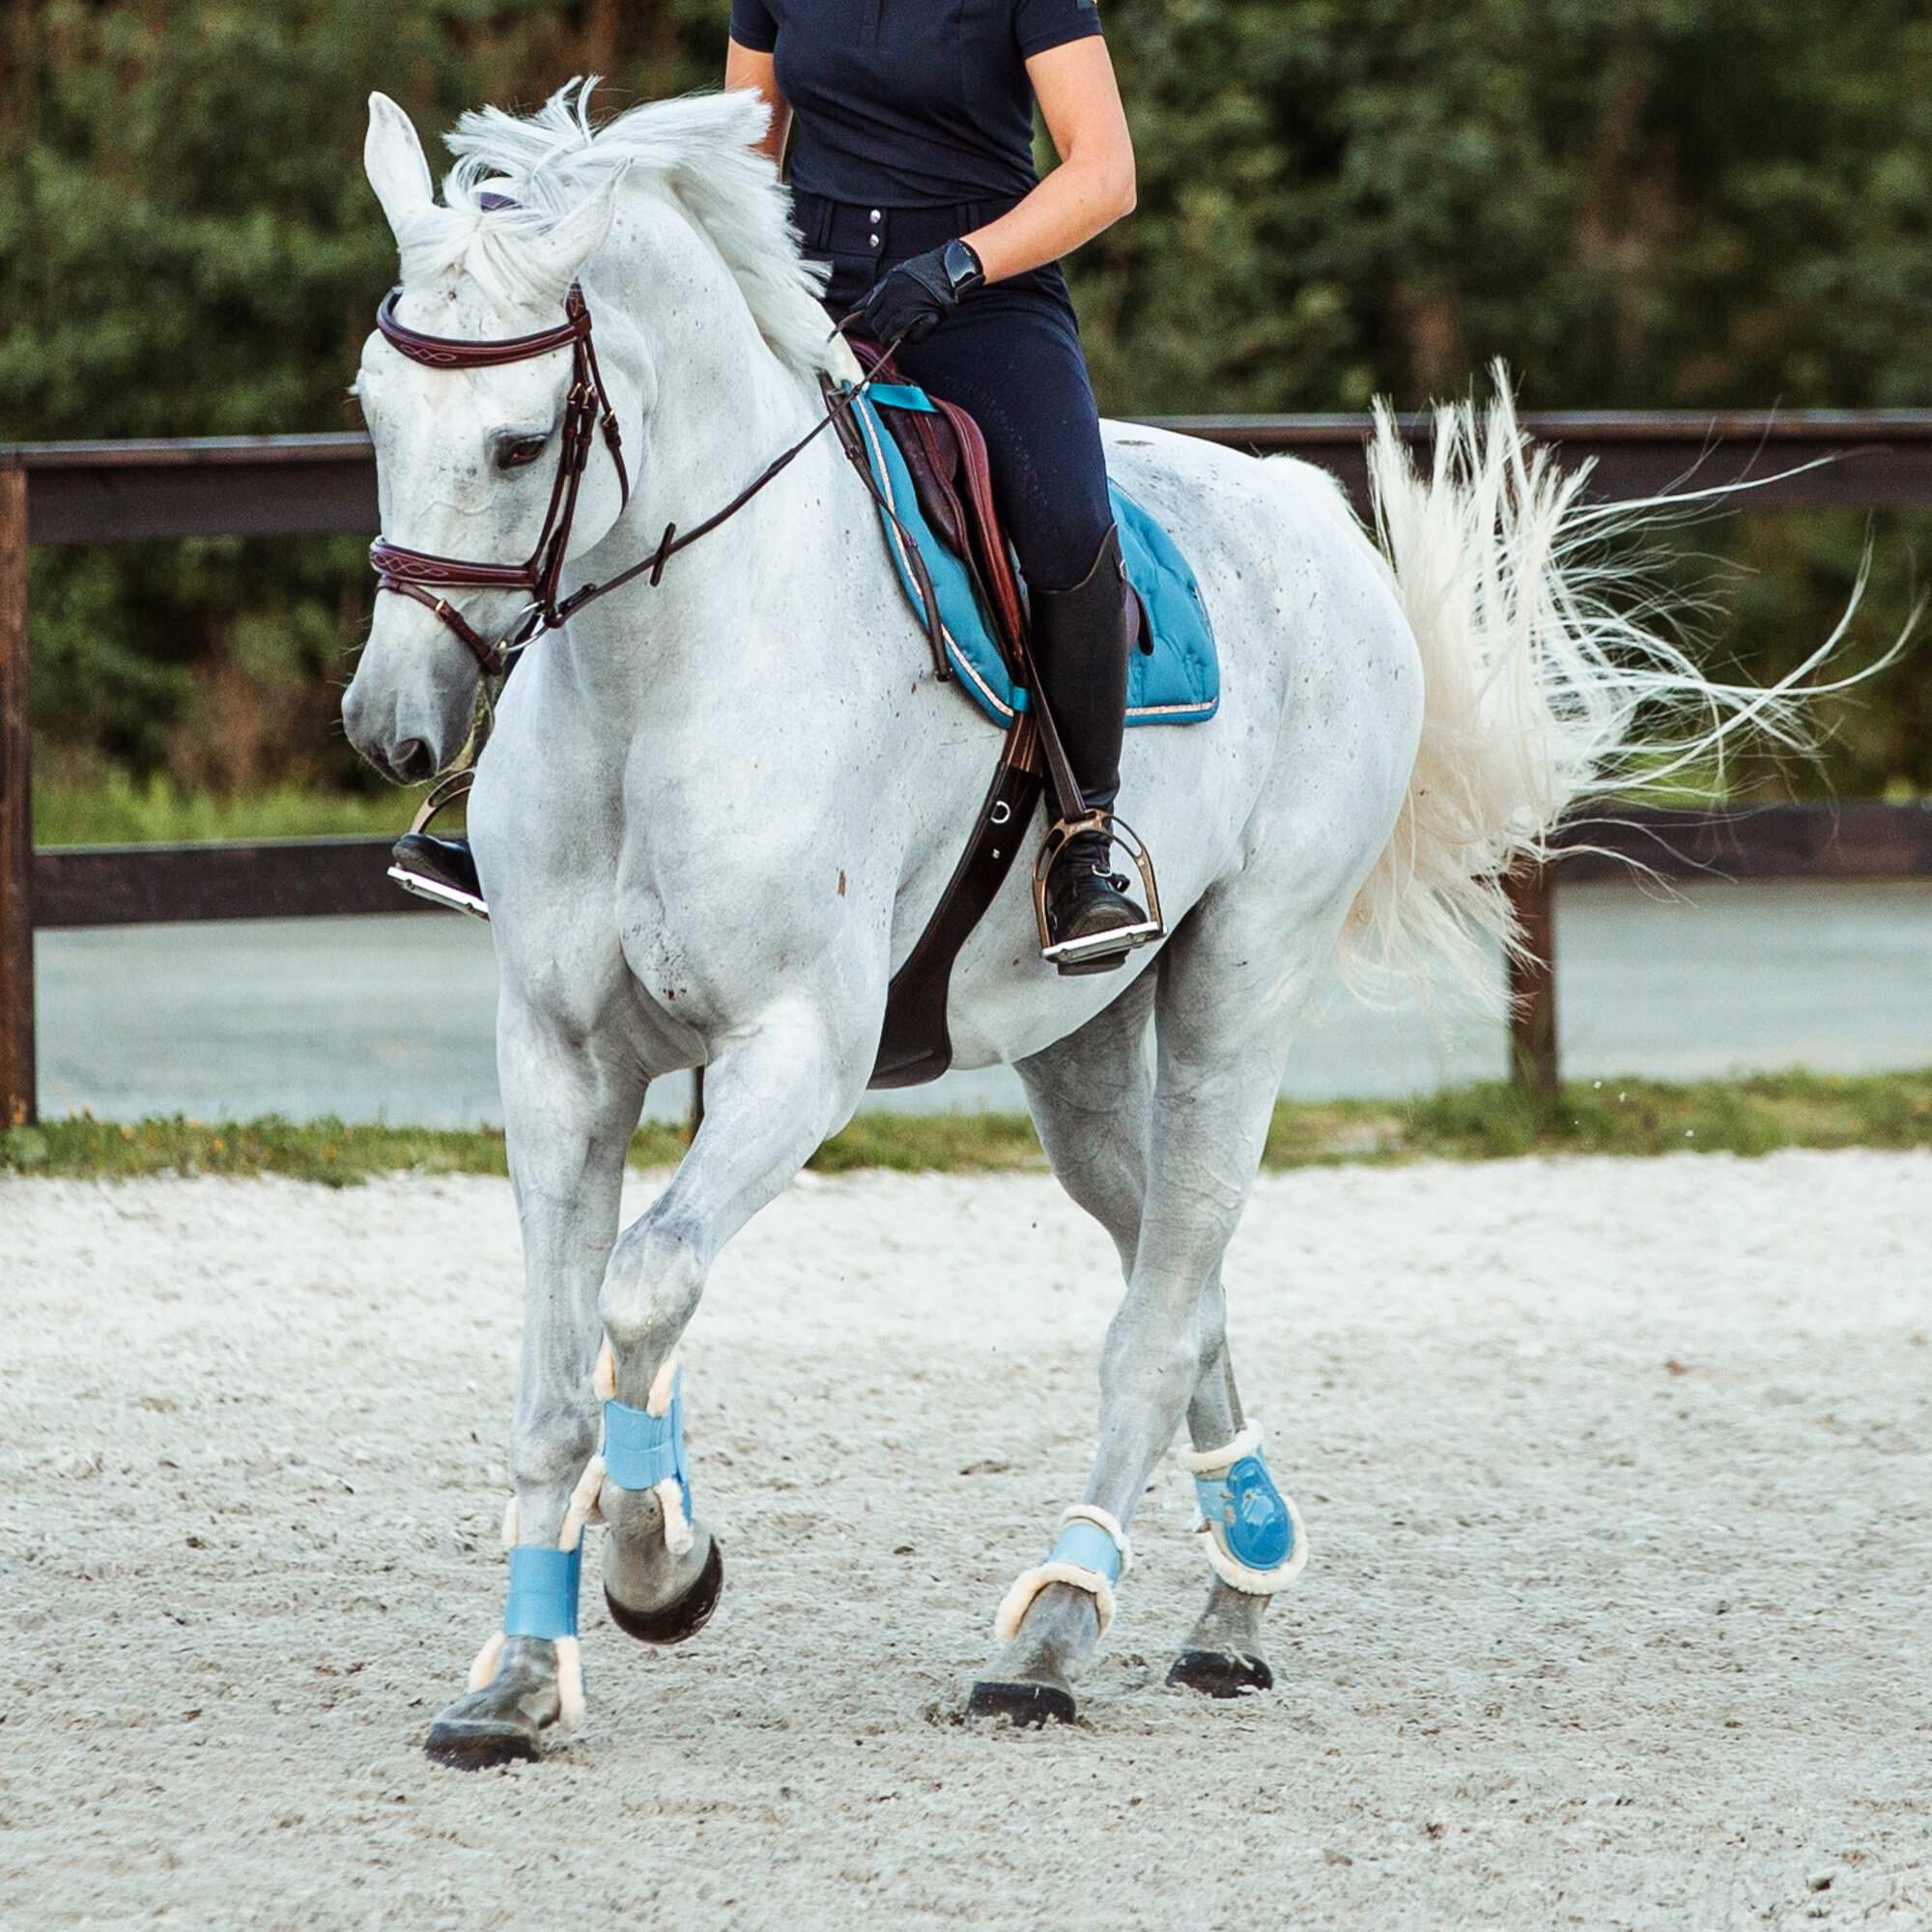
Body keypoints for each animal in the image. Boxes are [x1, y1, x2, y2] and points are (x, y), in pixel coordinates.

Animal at [342, 81, 1826, 1766]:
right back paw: (1238, 1590)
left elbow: (647, 1285)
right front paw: (517, 1682)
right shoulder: (560, 1061)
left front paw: (665, 1568)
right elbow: (553, 1380)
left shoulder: (799, 1053)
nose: (390, 727)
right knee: (1181, 1276)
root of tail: (1309, 518)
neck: (663, 677)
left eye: (522, 440)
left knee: (1162, 1307)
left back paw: (1055, 1629)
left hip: (1243, 985)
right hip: (1080, 1046)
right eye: (373, 412)